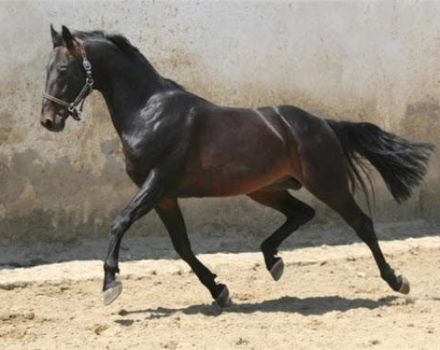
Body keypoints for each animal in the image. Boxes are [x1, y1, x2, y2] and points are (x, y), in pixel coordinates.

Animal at [41, 26, 434, 308]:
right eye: (47, 68)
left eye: (63, 68)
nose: (48, 120)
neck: (148, 111)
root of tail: (323, 123)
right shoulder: (164, 196)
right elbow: (182, 246)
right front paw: (219, 290)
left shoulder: (157, 184)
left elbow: (120, 222)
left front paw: (110, 284)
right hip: (266, 189)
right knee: (302, 213)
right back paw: (273, 261)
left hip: (327, 183)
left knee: (361, 223)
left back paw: (396, 280)